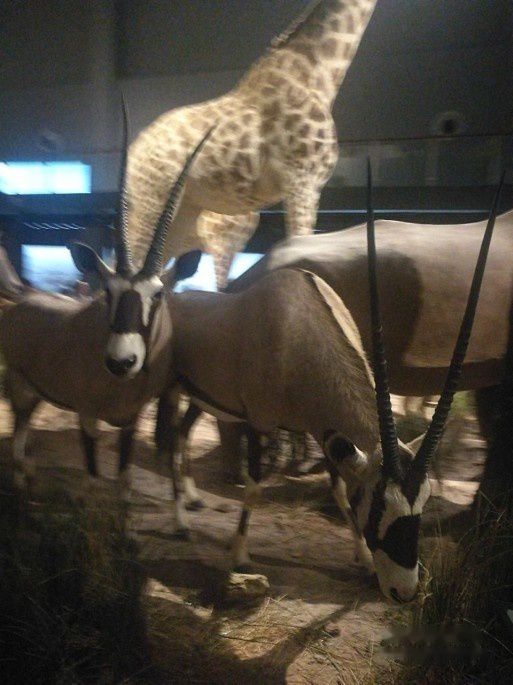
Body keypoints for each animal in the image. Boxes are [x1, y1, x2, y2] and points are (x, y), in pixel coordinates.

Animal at [127, 0, 378, 289]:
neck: (317, 76)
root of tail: (133, 152)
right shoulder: (302, 179)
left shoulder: (309, 187)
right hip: (152, 199)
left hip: (180, 215)